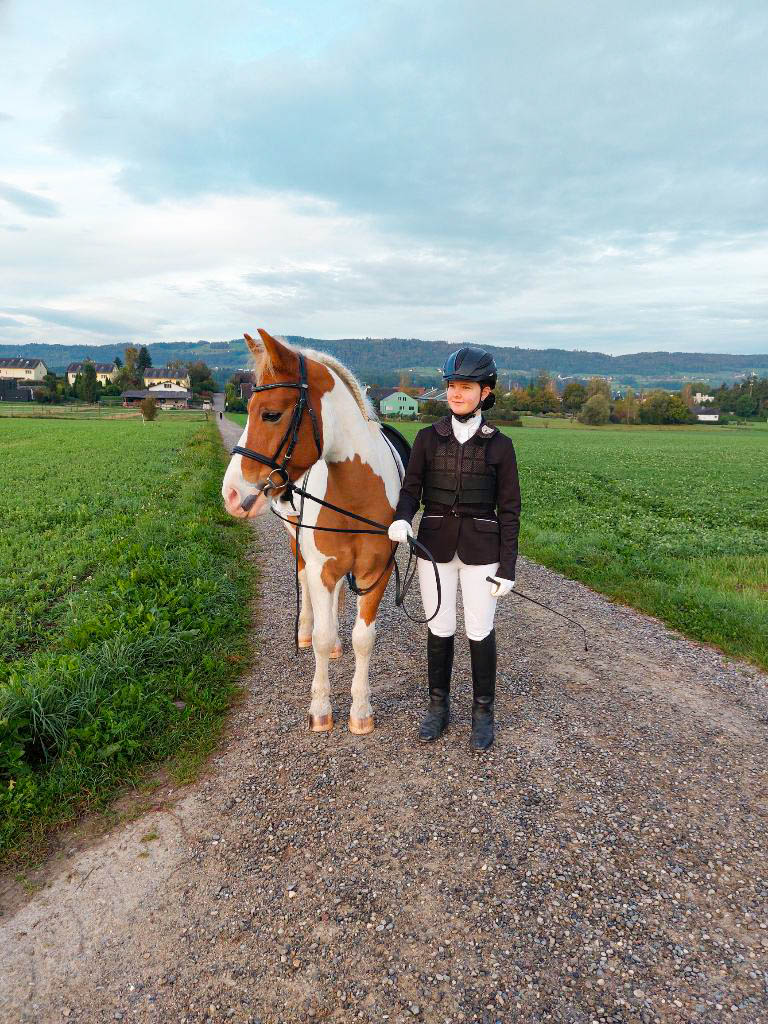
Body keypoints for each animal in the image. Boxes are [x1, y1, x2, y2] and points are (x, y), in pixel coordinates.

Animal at [221, 329, 405, 735]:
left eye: (271, 414)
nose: (231, 494)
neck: (356, 493)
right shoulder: (321, 566)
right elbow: (320, 636)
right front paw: (320, 708)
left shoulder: (377, 572)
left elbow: (363, 639)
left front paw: (361, 711)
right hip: (298, 542)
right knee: (306, 585)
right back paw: (305, 629)